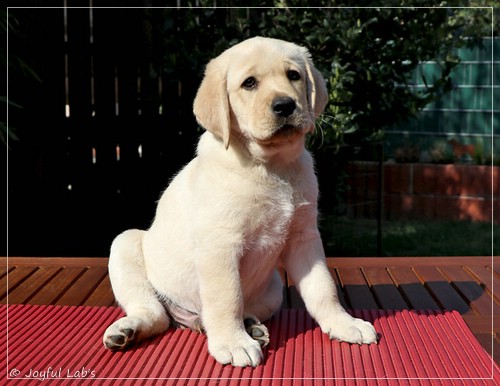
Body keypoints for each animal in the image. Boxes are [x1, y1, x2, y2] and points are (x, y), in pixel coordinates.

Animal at [102, 37, 376, 368]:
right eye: (249, 83)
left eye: (293, 75)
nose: (285, 105)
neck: (271, 166)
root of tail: (186, 317)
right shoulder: (221, 245)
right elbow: (227, 297)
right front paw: (233, 343)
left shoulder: (304, 237)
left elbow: (323, 288)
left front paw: (343, 323)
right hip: (125, 245)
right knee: (155, 314)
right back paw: (128, 329)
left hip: (273, 290)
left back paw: (250, 326)